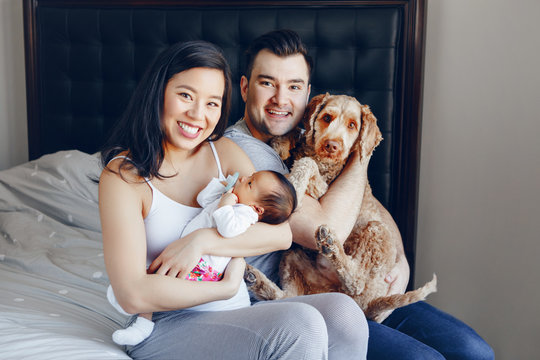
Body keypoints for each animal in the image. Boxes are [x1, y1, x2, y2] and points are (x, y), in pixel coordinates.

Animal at [244, 92, 434, 320]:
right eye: (327, 117)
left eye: (352, 125)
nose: (332, 145)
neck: (323, 160)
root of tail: (366, 306)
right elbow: (298, 137)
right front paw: (281, 143)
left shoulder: (323, 189)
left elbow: (307, 163)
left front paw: (295, 184)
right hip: (293, 257)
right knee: (287, 297)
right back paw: (256, 279)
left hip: (377, 232)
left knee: (357, 282)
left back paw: (332, 245)